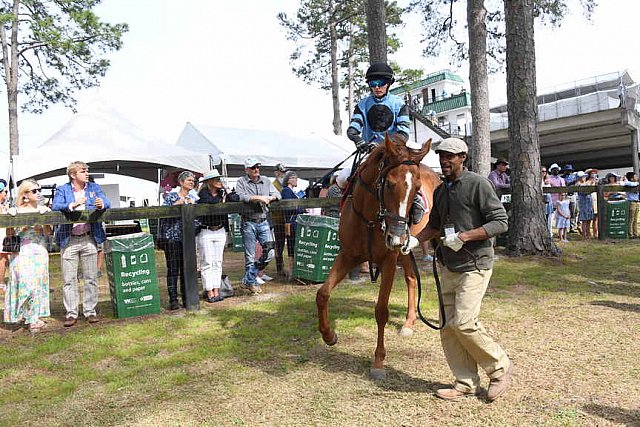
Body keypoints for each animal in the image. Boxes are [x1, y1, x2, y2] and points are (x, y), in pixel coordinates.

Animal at [316, 134, 440, 378]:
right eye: (390, 184)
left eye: (417, 188)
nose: (397, 236)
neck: (371, 219)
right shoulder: (348, 256)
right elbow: (323, 293)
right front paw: (329, 335)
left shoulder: (389, 261)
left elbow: (381, 311)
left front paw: (379, 361)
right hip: (405, 250)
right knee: (412, 279)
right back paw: (409, 322)